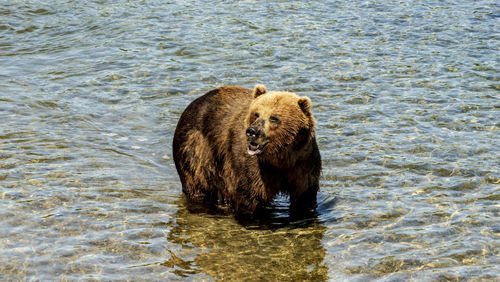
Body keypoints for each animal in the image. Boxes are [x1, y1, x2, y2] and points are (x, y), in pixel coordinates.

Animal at [172, 83, 320, 216]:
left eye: (273, 118)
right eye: (256, 114)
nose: (252, 131)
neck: (280, 158)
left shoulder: (303, 161)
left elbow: (305, 196)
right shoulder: (251, 165)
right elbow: (249, 196)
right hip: (195, 147)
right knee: (196, 182)